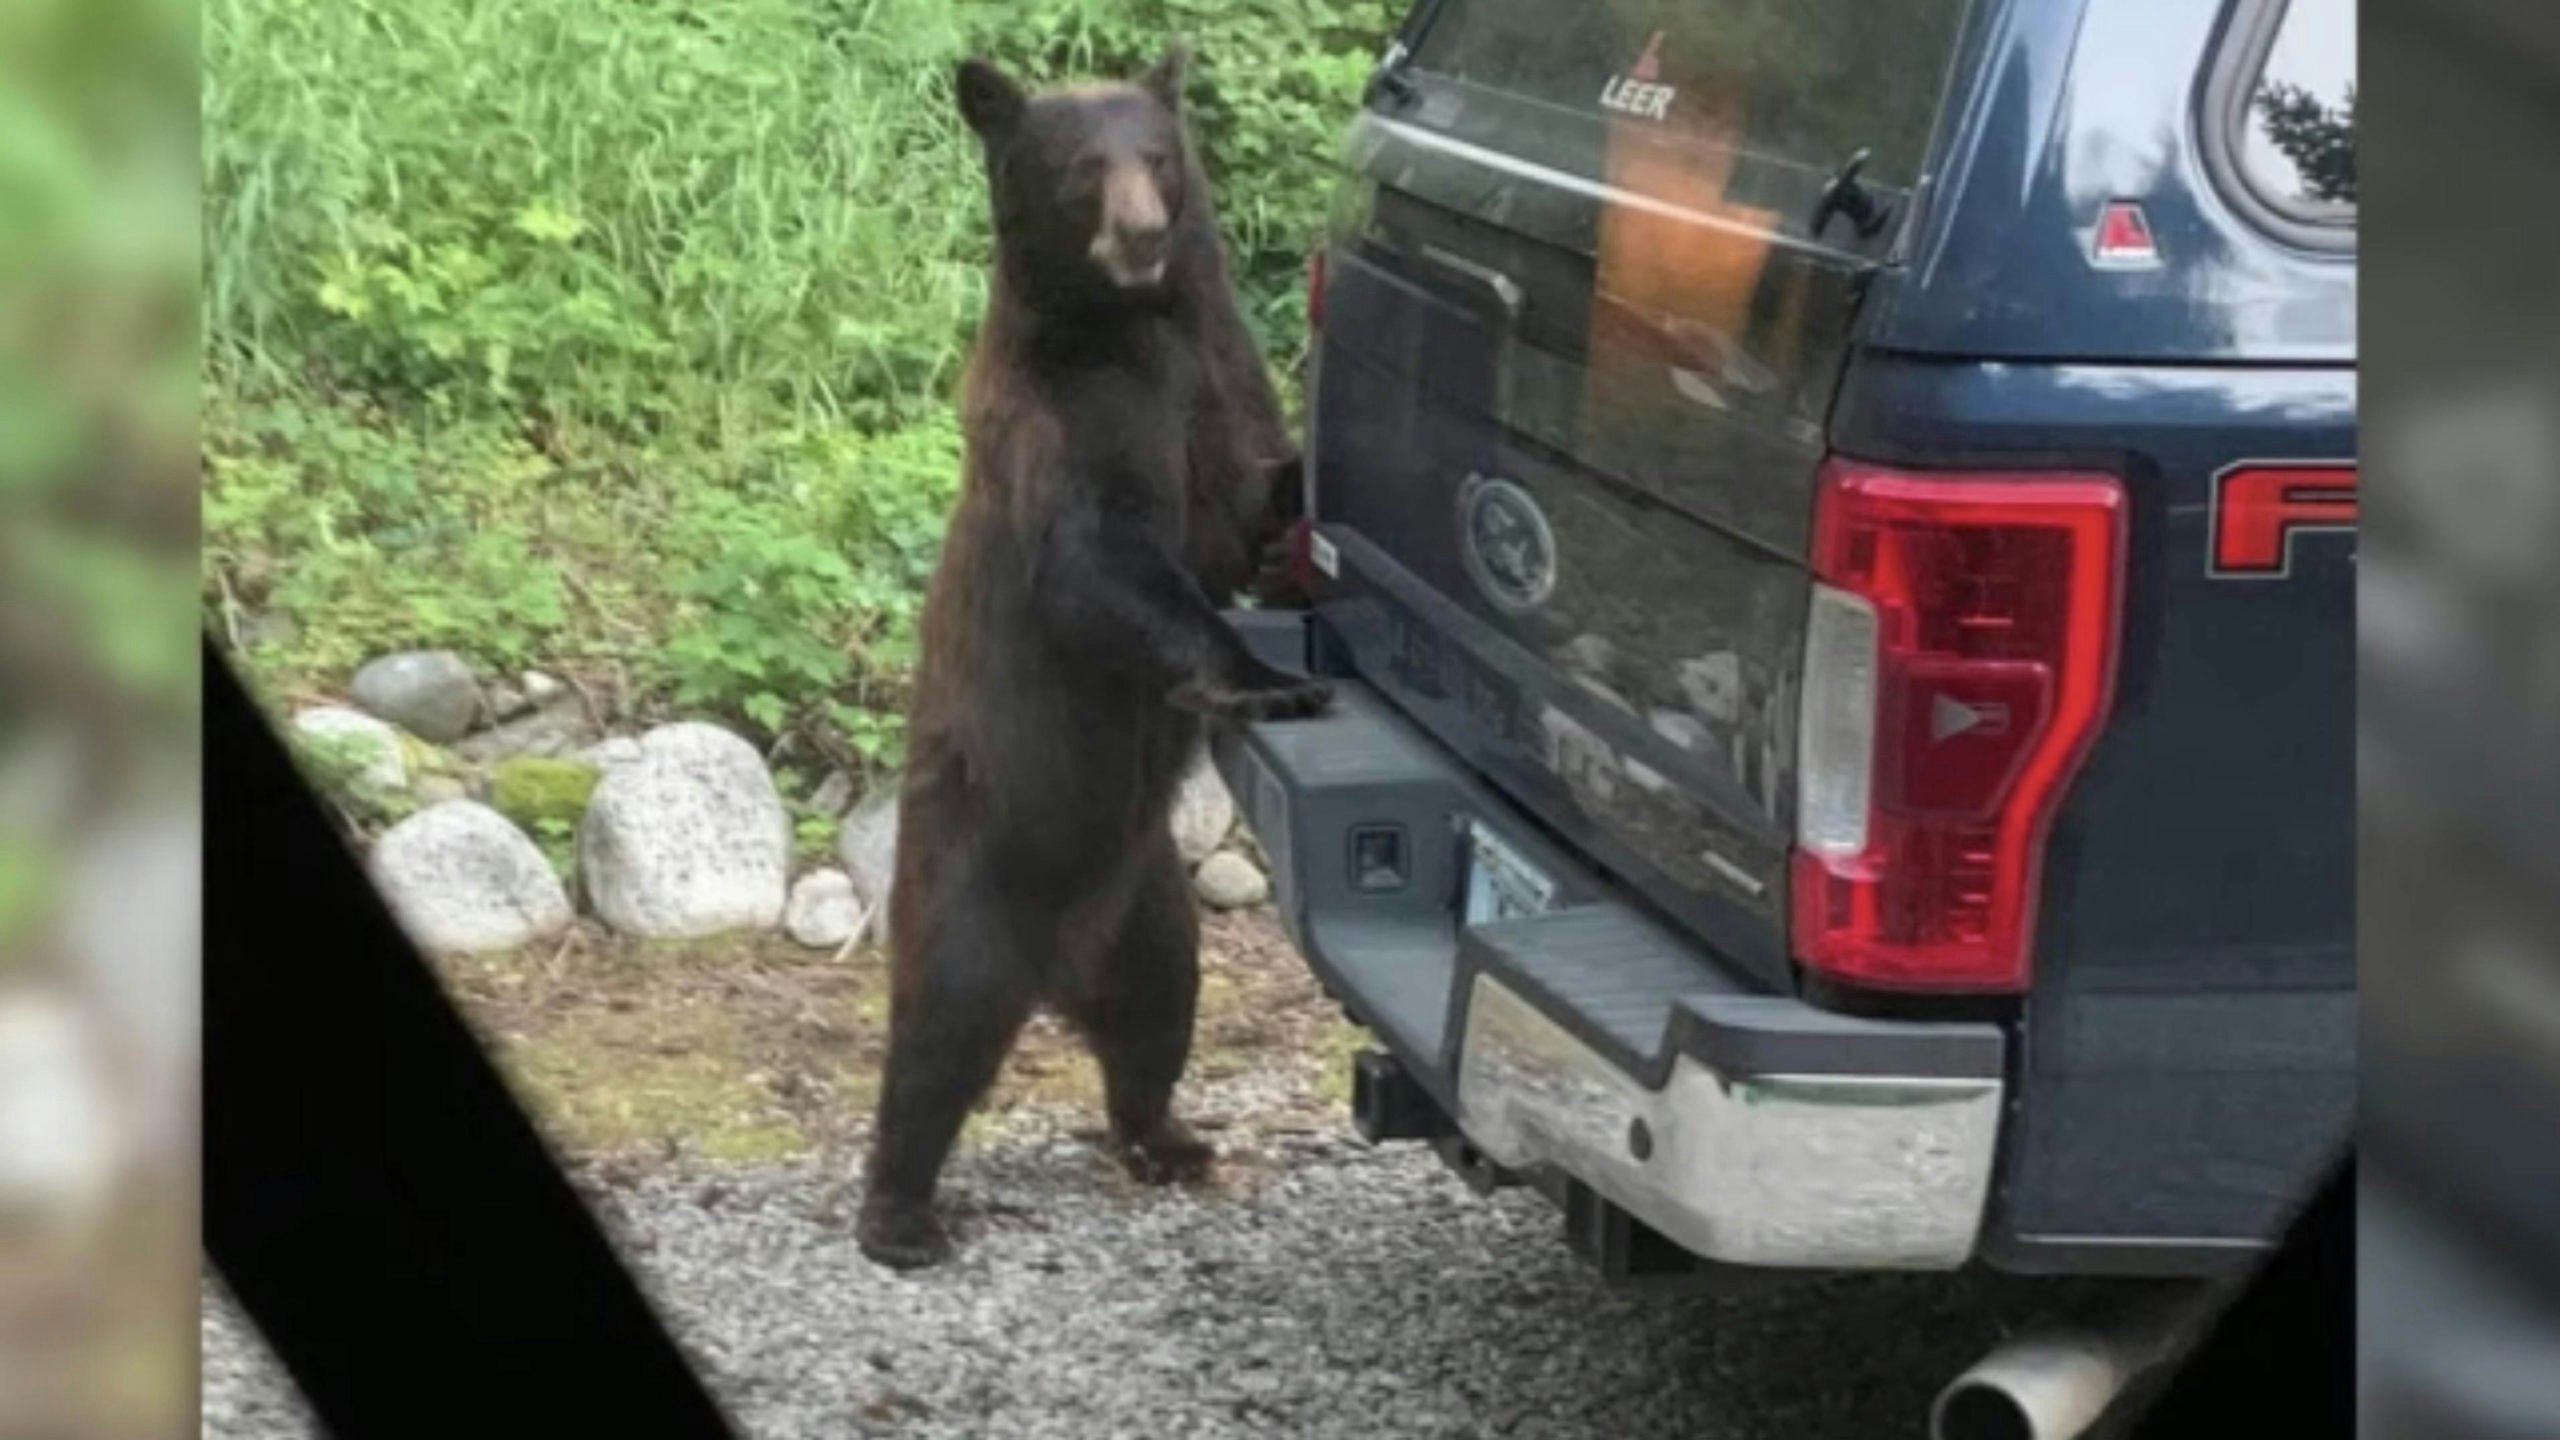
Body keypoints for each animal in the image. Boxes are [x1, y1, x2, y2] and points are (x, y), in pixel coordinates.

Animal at [855, 46, 1332, 1269]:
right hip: (973, 871)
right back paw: (901, 1214)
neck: (1134, 324)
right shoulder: (1064, 422)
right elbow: (1105, 566)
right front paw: (1276, 679)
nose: (1143, 234)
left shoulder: (1216, 380)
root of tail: (1057, 968)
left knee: (1158, 1014)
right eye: (1081, 171)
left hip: (1148, 903)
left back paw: (1168, 1137)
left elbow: (1254, 499)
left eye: (1157, 157)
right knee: (939, 1034)